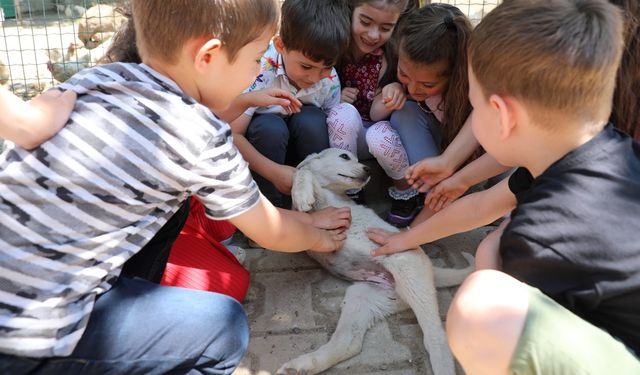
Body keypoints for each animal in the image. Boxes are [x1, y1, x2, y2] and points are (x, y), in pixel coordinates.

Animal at [278, 149, 472, 375]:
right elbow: (302, 174)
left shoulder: (330, 207)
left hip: (409, 274)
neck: (333, 190)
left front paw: (301, 195)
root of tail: (432, 270)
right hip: (364, 297)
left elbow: (302, 173)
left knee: (436, 336)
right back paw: (302, 366)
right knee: (349, 343)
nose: (368, 169)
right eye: (344, 156)